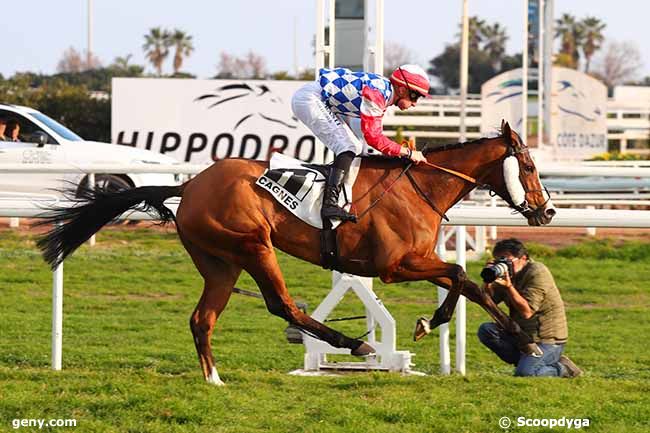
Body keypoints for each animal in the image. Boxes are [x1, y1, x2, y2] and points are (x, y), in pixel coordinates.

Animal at [36, 120, 552, 384]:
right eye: (527, 165)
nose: (546, 211)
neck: (420, 186)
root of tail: (190, 184)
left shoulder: (413, 262)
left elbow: (466, 282)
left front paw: (523, 340)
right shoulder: (395, 266)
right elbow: (458, 274)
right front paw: (430, 323)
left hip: (220, 263)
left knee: (203, 318)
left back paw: (214, 378)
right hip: (252, 245)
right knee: (281, 304)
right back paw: (355, 344)